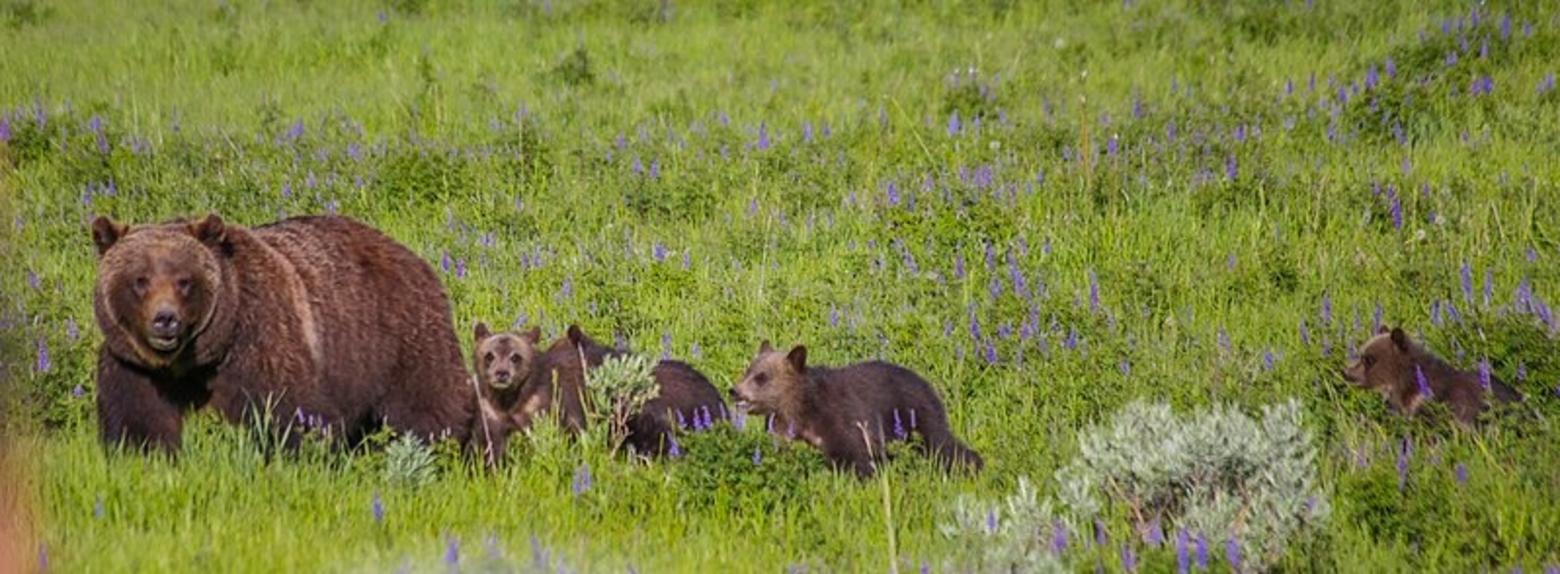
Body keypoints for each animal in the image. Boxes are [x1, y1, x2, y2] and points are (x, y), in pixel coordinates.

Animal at [92, 213, 474, 455]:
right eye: (140, 280)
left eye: (184, 281)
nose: (165, 320)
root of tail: (411, 254)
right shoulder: (135, 367)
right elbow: (139, 422)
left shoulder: (260, 338)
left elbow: (293, 409)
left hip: (399, 335)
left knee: (428, 401)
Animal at [726, 343, 973, 477]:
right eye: (748, 370)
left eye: (761, 377)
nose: (734, 391)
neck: (802, 409)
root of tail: (927, 384)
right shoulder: (783, 428)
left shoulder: (841, 417)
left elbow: (854, 456)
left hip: (916, 415)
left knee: (943, 444)